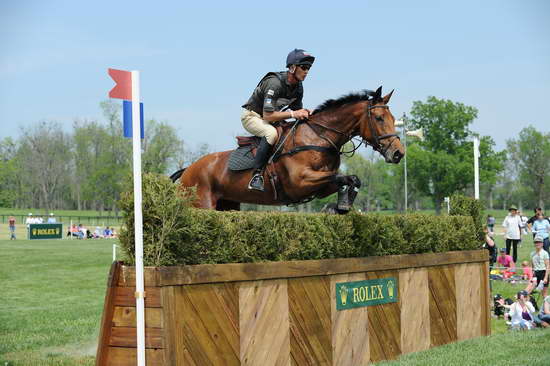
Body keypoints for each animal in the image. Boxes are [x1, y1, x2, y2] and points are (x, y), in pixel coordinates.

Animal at [171, 86, 406, 212]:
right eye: (379, 118)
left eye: (394, 118)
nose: (398, 153)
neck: (319, 137)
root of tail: (188, 170)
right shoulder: (300, 181)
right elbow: (341, 177)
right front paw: (340, 206)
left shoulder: (319, 187)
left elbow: (350, 179)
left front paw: (342, 205)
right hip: (202, 204)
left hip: (227, 204)